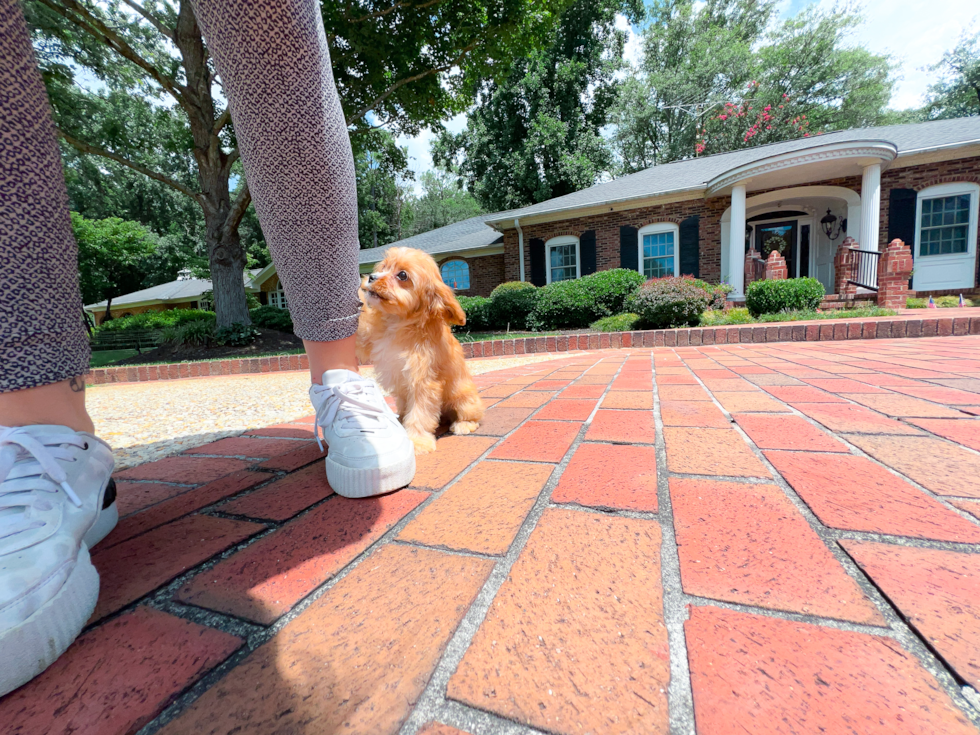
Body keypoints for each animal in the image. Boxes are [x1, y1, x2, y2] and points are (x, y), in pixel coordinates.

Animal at [358, 247, 484, 454]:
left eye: (402, 275)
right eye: (384, 268)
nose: (371, 277)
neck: (399, 323)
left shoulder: (423, 381)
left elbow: (420, 413)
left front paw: (417, 442)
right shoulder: (370, 338)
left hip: (463, 397)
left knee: (473, 414)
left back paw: (463, 425)